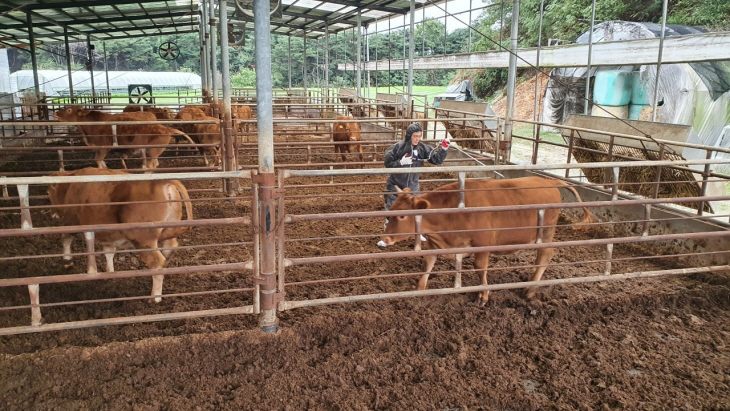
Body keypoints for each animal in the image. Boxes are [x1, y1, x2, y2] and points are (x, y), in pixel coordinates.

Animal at [48, 167, 193, 302]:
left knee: (157, 262)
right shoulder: (107, 232)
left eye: (48, 192)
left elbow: (67, 238)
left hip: (143, 239)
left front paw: (68, 261)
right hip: (168, 228)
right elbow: (108, 251)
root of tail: (161, 182)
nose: (53, 214)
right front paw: (109, 271)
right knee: (170, 248)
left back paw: (154, 297)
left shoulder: (72, 221)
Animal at [53, 108, 193, 171]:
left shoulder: (103, 148)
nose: (55, 113)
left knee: (152, 165)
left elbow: (98, 161)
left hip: (152, 151)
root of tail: (166, 129)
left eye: (69, 109)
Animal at [378, 177, 596, 306]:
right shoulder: (435, 245)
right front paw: (419, 290)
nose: (384, 238)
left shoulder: (483, 246)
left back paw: (530, 288)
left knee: (545, 256)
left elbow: (480, 268)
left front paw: (483, 295)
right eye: (391, 211)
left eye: (403, 216)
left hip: (546, 232)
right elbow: (427, 265)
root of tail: (547, 180)